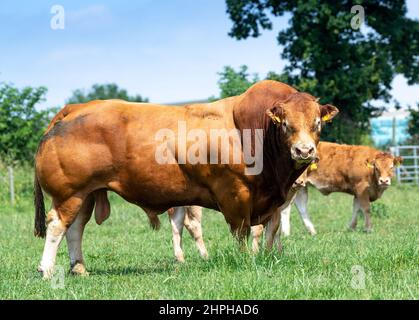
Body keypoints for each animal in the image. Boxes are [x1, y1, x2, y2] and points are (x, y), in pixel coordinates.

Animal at [34, 80, 340, 278]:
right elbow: (242, 231)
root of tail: (75, 107)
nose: (304, 151)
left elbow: (270, 230)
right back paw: (47, 270)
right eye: (286, 124)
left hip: (85, 194)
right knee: (57, 226)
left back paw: (79, 268)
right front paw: (245, 260)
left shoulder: (272, 200)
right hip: (69, 193)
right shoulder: (236, 194)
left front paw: (266, 256)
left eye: (317, 123)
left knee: (75, 228)